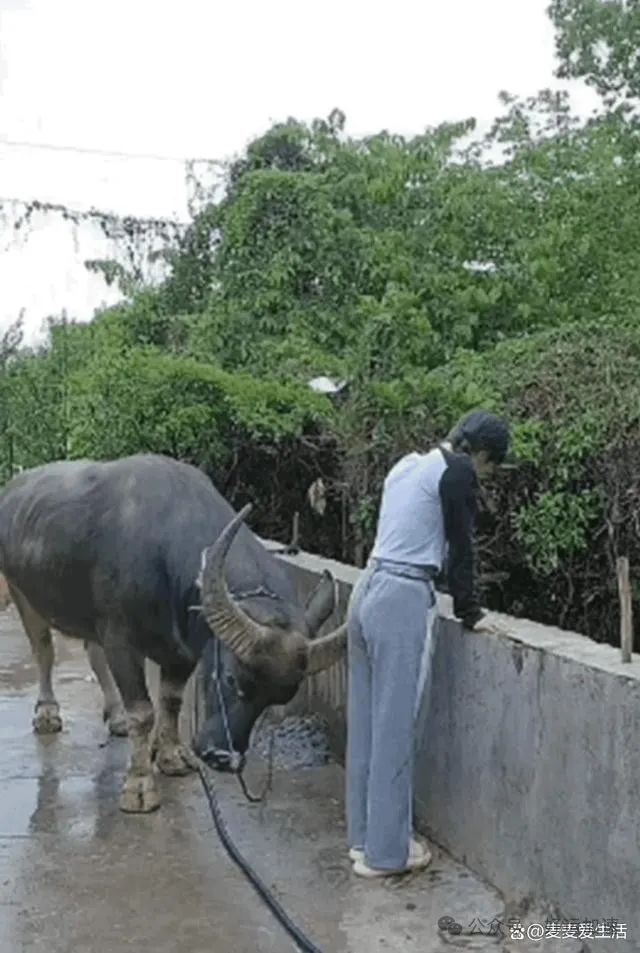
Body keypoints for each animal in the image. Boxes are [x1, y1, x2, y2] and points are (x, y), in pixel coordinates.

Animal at [0, 454, 344, 812]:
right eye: (231, 678)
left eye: (279, 698)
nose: (223, 758)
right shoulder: (121, 641)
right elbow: (143, 712)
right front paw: (139, 786)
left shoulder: (182, 651)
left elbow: (170, 701)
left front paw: (171, 756)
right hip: (22, 592)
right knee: (44, 652)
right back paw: (47, 712)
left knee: (93, 654)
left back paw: (115, 716)